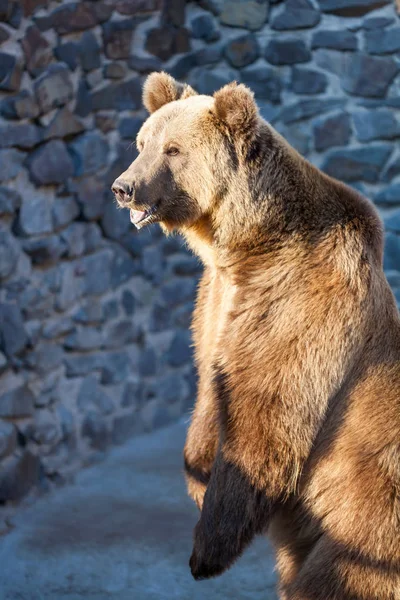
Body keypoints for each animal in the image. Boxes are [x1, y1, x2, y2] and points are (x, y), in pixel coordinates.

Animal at [111, 72, 400, 596]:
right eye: (142, 143)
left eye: (173, 150)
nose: (124, 187)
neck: (248, 245)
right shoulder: (217, 300)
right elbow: (212, 384)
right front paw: (198, 476)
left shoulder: (298, 299)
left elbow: (264, 409)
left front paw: (206, 549)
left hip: (366, 507)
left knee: (342, 575)